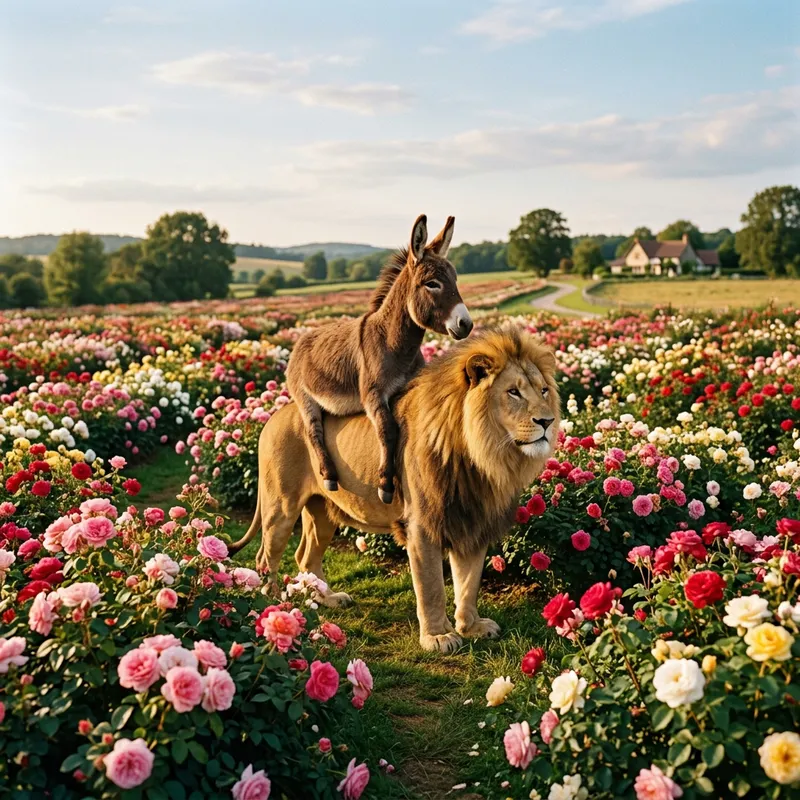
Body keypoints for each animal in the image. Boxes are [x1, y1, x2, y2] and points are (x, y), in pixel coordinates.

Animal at [229, 325, 560, 653]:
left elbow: (468, 582)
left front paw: (471, 627)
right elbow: (432, 587)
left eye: (543, 390)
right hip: (281, 508)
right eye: (513, 392)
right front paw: (438, 636)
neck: (482, 457)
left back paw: (328, 599)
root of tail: (273, 415)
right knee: (265, 558)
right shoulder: (423, 526)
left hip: (321, 513)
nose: (547, 420)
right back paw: (275, 608)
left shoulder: (471, 521)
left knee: (305, 556)